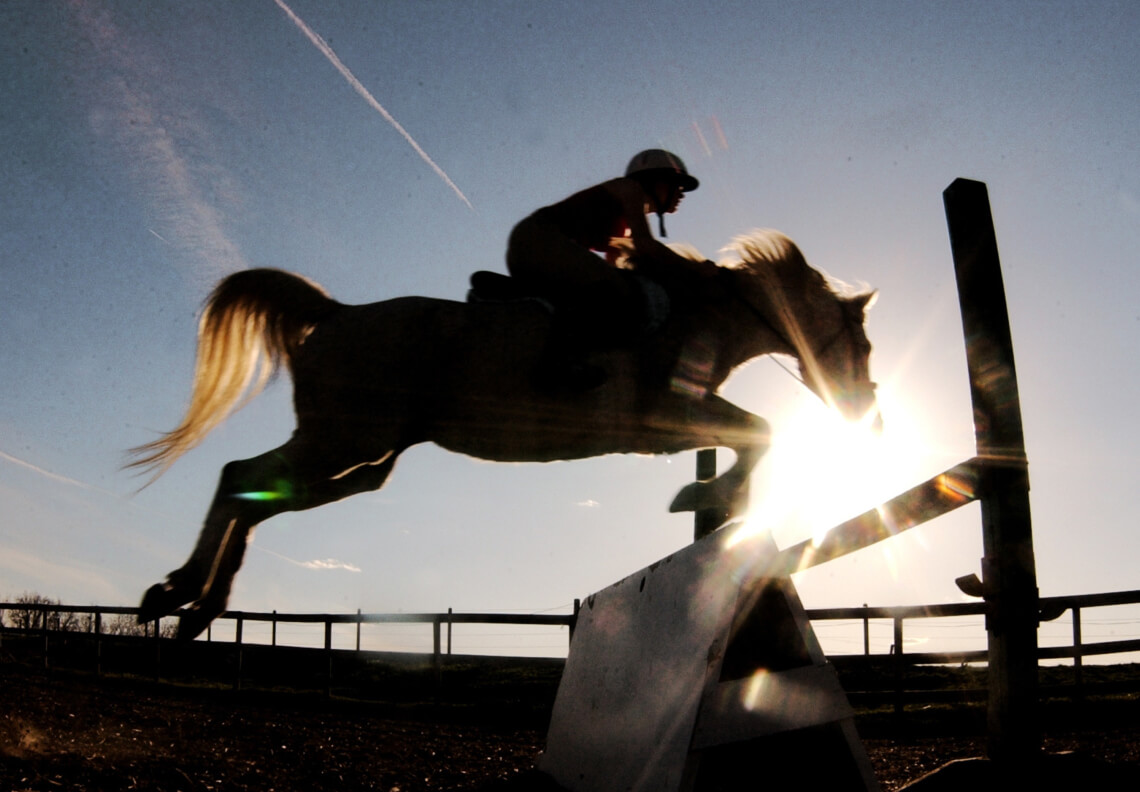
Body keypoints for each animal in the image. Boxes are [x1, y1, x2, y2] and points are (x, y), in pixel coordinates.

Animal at [131, 229, 878, 639]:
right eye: (865, 345)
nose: (868, 414)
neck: (705, 314)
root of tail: (337, 313)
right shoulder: (667, 417)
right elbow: (762, 431)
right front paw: (702, 499)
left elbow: (755, 435)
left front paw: (716, 503)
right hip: (341, 439)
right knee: (240, 478)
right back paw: (183, 595)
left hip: (365, 459)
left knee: (258, 496)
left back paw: (192, 603)